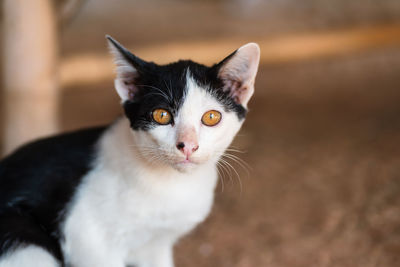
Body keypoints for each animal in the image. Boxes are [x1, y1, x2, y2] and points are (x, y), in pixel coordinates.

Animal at [0, 36, 260, 267]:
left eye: (211, 117)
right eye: (161, 115)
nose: (188, 145)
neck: (171, 186)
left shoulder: (156, 246)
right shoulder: (86, 238)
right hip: (24, 240)